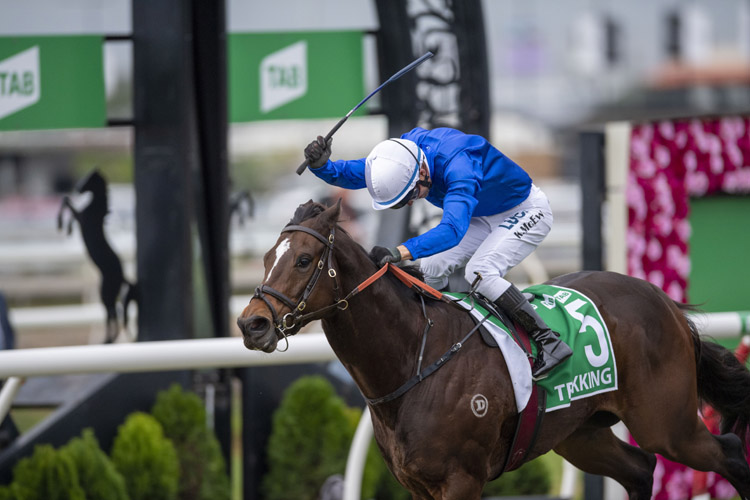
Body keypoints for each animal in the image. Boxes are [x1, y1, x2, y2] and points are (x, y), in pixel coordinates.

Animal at [238, 200, 750, 500]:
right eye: (264, 258)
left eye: (304, 260)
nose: (250, 323)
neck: (414, 358)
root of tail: (663, 301)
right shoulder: (417, 485)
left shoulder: (462, 480)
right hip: (580, 433)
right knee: (640, 470)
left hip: (667, 424)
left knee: (727, 453)